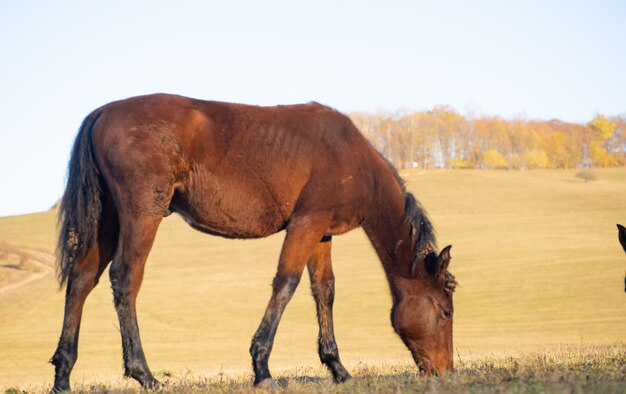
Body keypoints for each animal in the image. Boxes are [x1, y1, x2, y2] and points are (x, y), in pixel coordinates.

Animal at [51, 93, 456, 390]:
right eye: (446, 312)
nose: (446, 372)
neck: (351, 156)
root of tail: (103, 112)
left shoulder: (321, 232)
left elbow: (324, 291)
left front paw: (338, 368)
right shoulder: (305, 225)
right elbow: (286, 284)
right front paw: (262, 368)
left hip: (107, 221)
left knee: (82, 281)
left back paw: (63, 374)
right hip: (141, 216)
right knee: (125, 278)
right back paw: (143, 374)